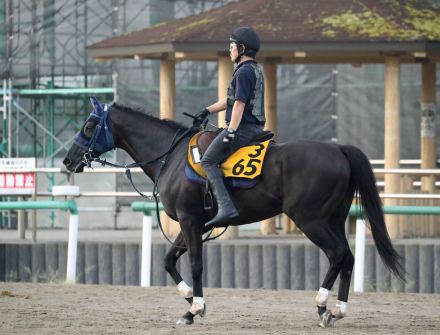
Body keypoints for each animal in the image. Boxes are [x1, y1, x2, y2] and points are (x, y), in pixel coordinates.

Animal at [63, 98, 404, 328]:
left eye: (89, 125)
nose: (68, 160)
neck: (171, 157)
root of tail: (338, 149)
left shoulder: (190, 221)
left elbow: (196, 265)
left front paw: (194, 308)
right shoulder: (196, 224)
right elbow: (169, 261)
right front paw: (190, 301)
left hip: (311, 220)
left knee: (337, 255)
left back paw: (323, 305)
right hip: (332, 219)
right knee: (347, 257)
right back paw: (336, 309)